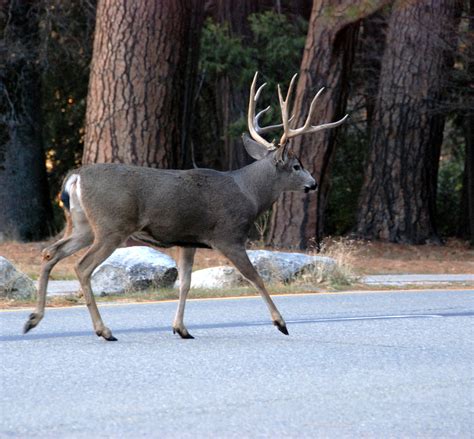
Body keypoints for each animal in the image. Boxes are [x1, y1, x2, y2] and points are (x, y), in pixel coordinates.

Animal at [23, 72, 348, 342]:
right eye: (296, 166)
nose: (313, 183)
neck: (249, 193)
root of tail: (75, 177)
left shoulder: (188, 239)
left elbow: (185, 282)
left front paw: (181, 328)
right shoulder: (228, 235)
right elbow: (255, 276)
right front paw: (281, 323)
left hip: (83, 225)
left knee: (50, 252)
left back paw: (33, 319)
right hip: (111, 226)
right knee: (81, 267)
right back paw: (104, 330)